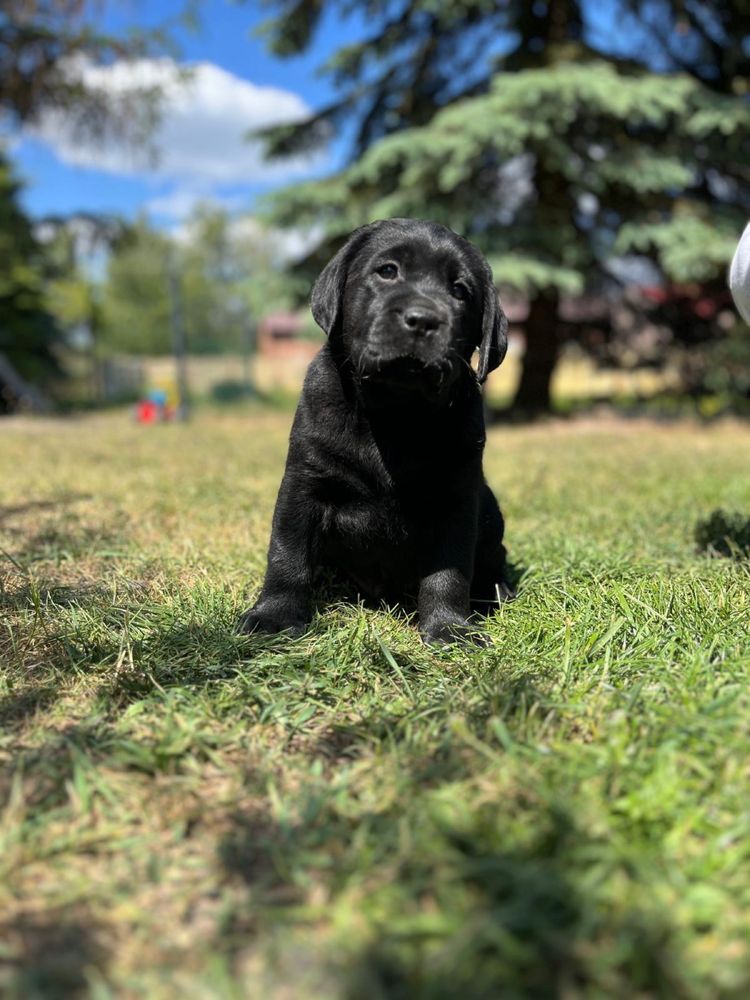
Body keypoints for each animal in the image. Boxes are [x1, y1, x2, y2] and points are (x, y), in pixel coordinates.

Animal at [244, 216, 516, 644]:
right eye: (388, 271)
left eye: (460, 291)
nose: (423, 319)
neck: (395, 412)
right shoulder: (304, 482)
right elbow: (287, 553)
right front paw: (275, 615)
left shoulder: (458, 497)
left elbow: (449, 570)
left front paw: (448, 627)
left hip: (489, 508)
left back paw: (497, 591)